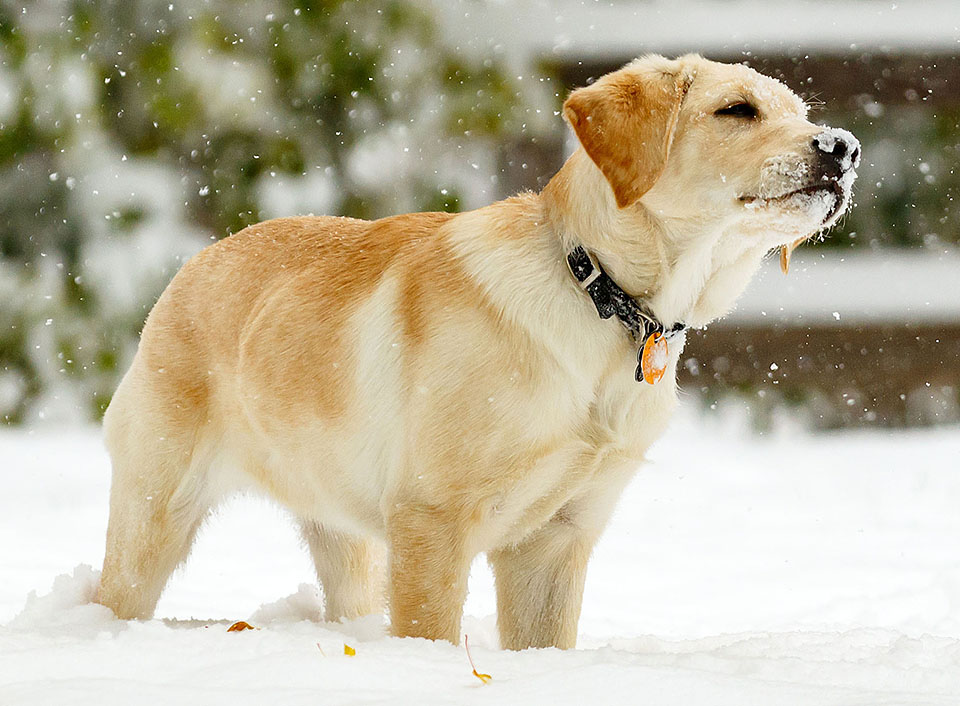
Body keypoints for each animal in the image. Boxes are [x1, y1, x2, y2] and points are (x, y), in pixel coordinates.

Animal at [101, 55, 860, 648]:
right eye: (736, 110)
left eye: (800, 112)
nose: (844, 148)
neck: (599, 292)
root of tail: (195, 261)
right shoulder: (431, 522)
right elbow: (430, 632)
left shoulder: (554, 542)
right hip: (154, 517)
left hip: (344, 540)